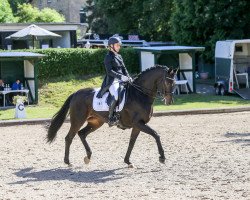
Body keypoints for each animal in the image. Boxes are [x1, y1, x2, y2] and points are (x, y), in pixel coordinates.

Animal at [47, 64, 176, 167]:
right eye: (167, 82)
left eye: (174, 82)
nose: (169, 101)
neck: (139, 94)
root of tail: (76, 93)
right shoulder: (138, 123)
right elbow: (156, 135)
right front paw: (162, 157)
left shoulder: (138, 125)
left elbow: (132, 142)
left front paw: (127, 161)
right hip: (78, 120)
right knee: (69, 137)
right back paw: (68, 162)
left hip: (96, 122)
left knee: (82, 134)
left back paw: (88, 157)